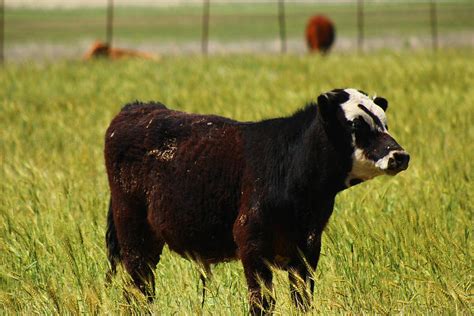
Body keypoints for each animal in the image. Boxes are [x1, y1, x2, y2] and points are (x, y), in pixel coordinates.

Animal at [105, 88, 410, 314]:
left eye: (384, 124)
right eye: (356, 125)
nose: (400, 155)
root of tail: (139, 108)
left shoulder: (307, 249)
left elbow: (302, 301)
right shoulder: (252, 244)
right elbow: (261, 303)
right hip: (134, 236)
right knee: (138, 289)